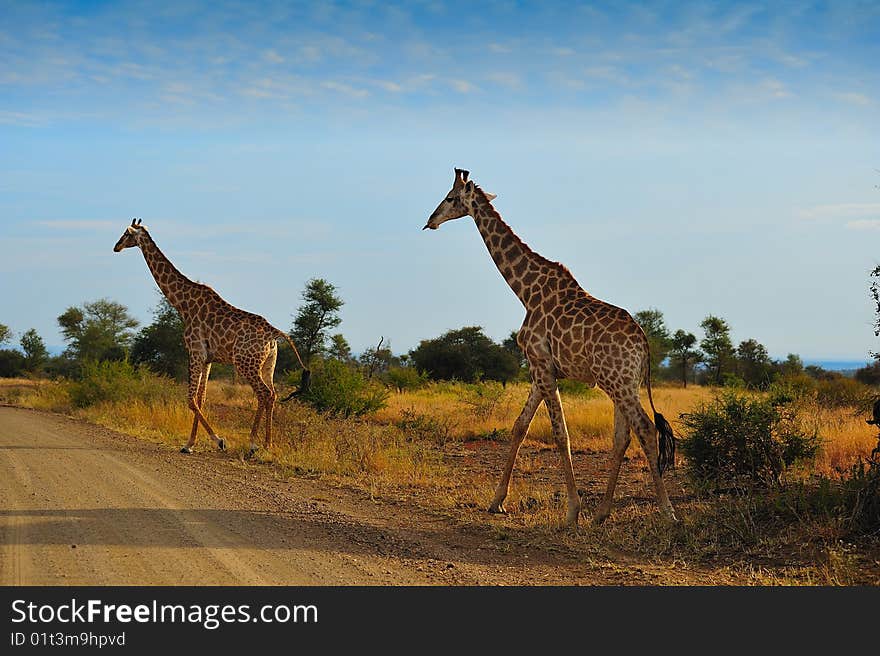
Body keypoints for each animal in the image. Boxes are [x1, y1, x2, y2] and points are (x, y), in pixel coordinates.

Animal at [112, 220, 310, 456]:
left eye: (126, 234)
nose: (116, 247)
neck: (182, 304)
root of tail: (274, 333)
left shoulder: (195, 351)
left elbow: (190, 400)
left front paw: (219, 441)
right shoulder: (208, 358)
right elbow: (201, 398)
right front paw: (189, 444)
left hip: (245, 363)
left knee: (264, 394)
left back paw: (253, 444)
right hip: (267, 364)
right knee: (273, 394)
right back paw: (268, 445)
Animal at [422, 170, 676, 528]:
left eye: (450, 198)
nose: (430, 221)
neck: (526, 291)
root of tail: (644, 344)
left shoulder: (542, 365)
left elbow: (560, 434)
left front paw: (572, 512)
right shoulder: (538, 368)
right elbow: (519, 427)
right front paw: (497, 502)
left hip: (618, 383)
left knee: (645, 429)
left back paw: (667, 512)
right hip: (624, 383)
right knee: (622, 436)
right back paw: (602, 513)